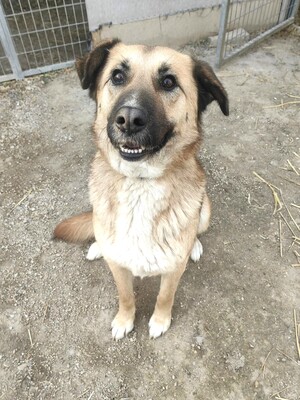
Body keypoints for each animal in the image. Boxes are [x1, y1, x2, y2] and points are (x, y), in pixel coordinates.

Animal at [54, 37, 229, 340]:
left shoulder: (173, 270)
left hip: (205, 208)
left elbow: (164, 297)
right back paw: (97, 246)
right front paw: (125, 320)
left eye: (169, 82)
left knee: (197, 227)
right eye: (117, 76)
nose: (129, 119)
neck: (139, 183)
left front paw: (160, 321)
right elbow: (125, 296)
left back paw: (194, 246)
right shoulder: (118, 268)